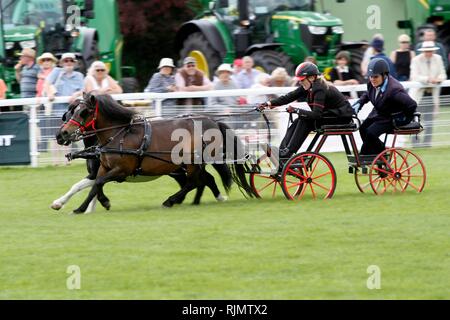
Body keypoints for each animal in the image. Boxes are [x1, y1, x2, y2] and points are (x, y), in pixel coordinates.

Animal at [58, 93, 255, 212]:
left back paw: (171, 201)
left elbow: (95, 184)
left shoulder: (121, 170)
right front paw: (83, 207)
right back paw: (204, 199)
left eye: (84, 112)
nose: (62, 134)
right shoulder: (103, 169)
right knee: (203, 179)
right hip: (184, 166)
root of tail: (212, 121)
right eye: (69, 113)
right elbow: (93, 187)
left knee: (194, 181)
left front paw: (84, 206)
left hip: (192, 162)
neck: (119, 134)